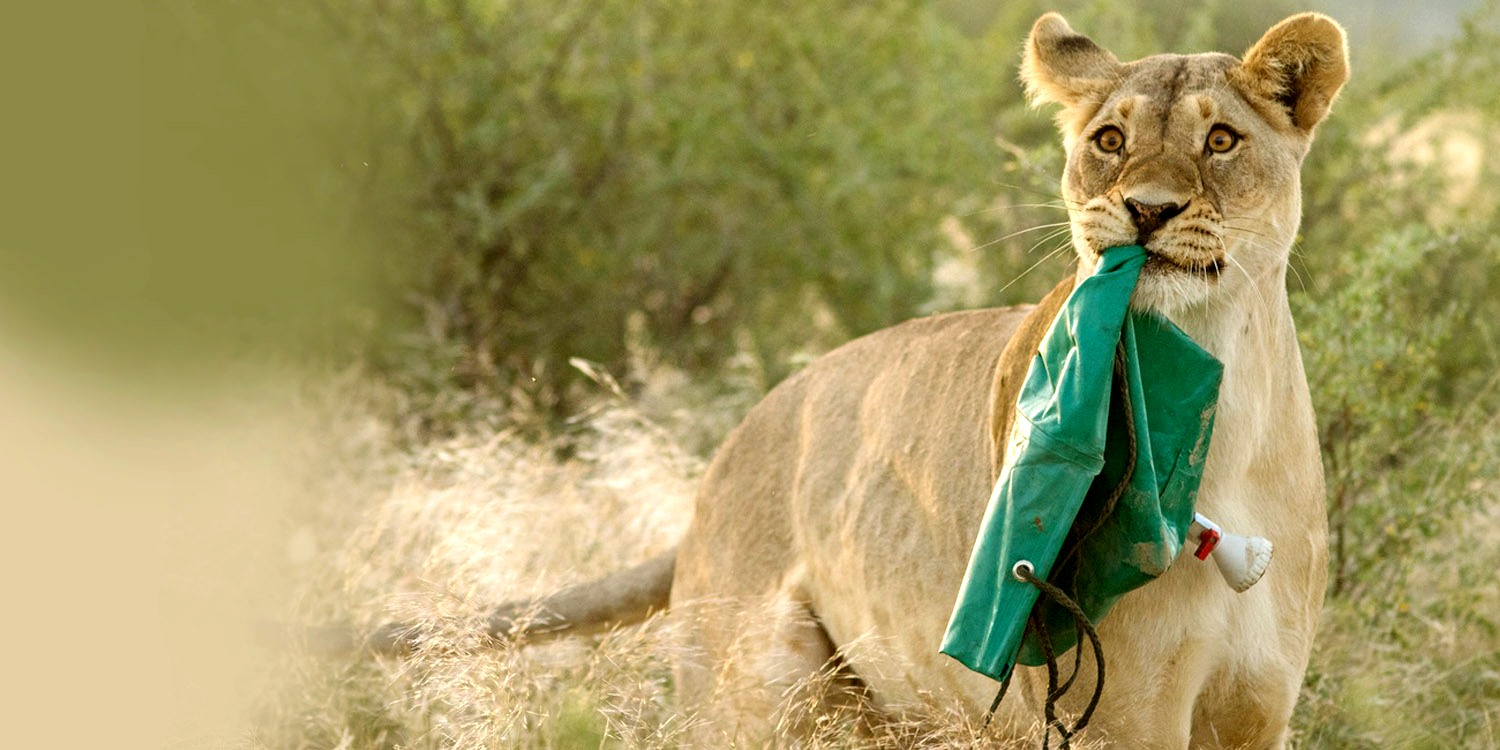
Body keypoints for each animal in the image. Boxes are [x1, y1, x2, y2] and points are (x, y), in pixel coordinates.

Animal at [397, 12, 1349, 748]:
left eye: (1220, 141)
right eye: (1109, 141)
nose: (1147, 210)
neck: (1220, 398)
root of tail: (717, 468)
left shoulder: (1258, 708)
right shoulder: (1114, 715)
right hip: (757, 699)